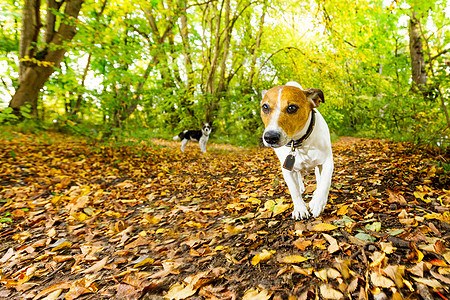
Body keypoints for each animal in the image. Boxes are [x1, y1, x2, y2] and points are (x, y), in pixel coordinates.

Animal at [260, 81, 334, 219]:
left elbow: (325, 182)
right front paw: (300, 208)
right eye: (265, 107)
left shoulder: (327, 161)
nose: (270, 137)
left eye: (292, 108)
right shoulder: (286, 168)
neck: (298, 142)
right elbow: (293, 189)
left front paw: (317, 202)